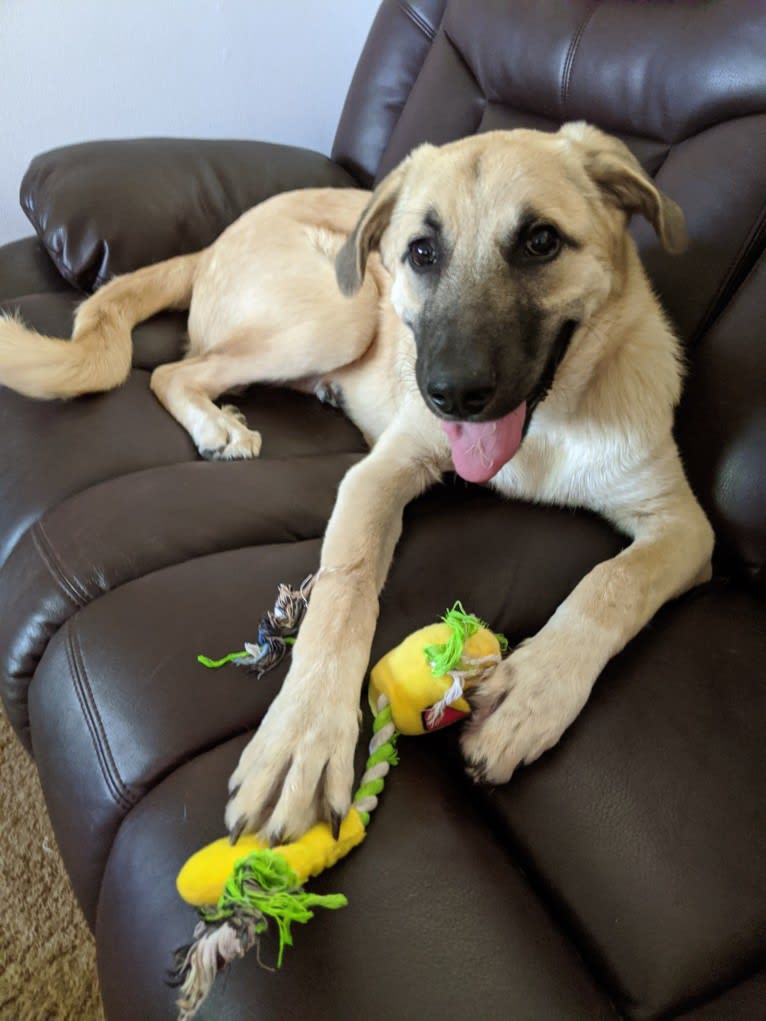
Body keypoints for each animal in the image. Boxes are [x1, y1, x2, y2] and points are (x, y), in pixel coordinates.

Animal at [1, 123, 719, 845]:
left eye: (541, 241)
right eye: (421, 253)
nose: (449, 393)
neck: (544, 427)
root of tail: (215, 241)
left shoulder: (684, 524)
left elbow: (613, 583)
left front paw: (532, 695)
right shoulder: (380, 472)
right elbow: (343, 590)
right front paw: (303, 736)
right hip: (341, 315)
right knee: (174, 371)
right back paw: (218, 423)